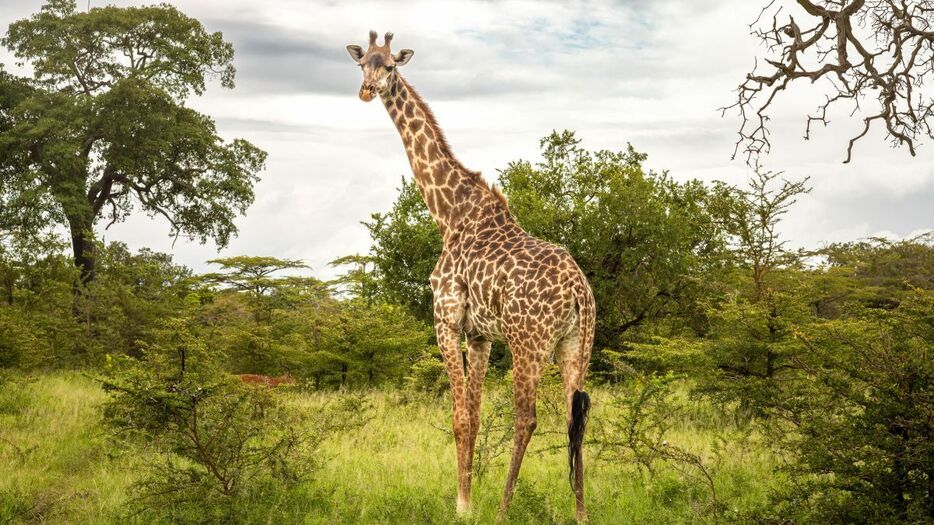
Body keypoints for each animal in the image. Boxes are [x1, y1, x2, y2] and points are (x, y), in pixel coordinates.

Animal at [348, 32, 596, 520]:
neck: (448, 212)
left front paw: (463, 505)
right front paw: (467, 497)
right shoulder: (480, 334)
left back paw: (504, 508)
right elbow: (477, 416)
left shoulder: (446, 319)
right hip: (576, 345)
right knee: (573, 417)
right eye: (363, 62)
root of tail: (580, 290)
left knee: (528, 418)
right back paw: (580, 513)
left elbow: (460, 416)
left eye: (390, 66)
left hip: (528, 343)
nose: (367, 90)